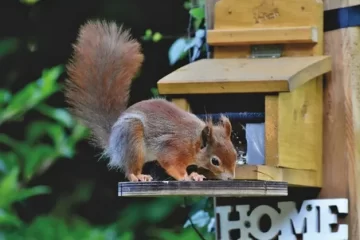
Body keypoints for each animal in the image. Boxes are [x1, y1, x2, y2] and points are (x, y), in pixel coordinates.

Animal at [64, 20, 239, 182]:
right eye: (215, 161)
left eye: (235, 153)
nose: (231, 178)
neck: (192, 141)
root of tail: (113, 143)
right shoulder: (171, 149)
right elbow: (171, 164)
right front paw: (185, 177)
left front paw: (195, 174)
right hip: (132, 140)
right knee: (130, 170)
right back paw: (138, 176)